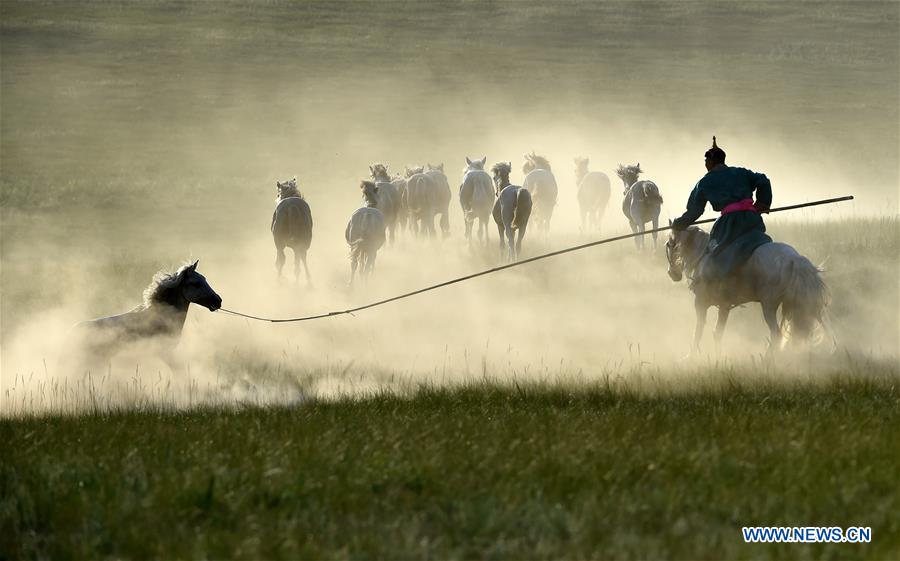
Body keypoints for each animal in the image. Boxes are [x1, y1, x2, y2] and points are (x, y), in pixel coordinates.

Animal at [666, 225, 830, 356]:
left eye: (669, 244)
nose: (672, 274)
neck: (702, 255)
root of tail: (794, 259)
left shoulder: (700, 303)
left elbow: (698, 331)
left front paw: (690, 357)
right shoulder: (724, 307)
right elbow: (717, 333)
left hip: (769, 306)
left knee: (776, 334)